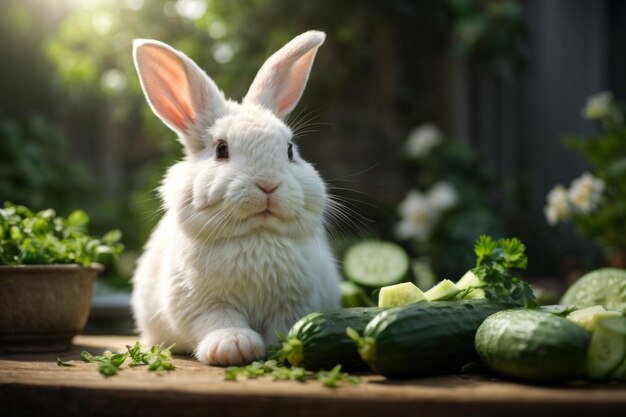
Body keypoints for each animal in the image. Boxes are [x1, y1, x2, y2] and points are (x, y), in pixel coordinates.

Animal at [129, 30, 338, 364]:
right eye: (221, 149)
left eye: (289, 150)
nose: (268, 185)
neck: (256, 235)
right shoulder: (203, 304)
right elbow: (220, 321)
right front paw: (234, 348)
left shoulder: (295, 303)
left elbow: (284, 326)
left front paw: (282, 348)